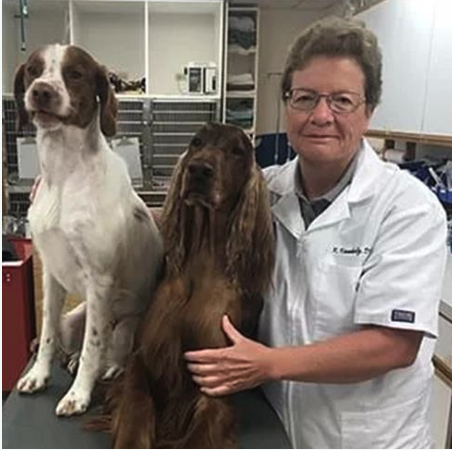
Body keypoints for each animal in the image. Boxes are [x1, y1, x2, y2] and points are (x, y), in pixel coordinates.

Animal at [13, 44, 163, 417]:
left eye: (76, 73)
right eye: (33, 70)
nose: (41, 92)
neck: (64, 173)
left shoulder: (100, 279)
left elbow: (93, 346)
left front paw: (78, 395)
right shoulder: (51, 274)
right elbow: (47, 332)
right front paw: (38, 376)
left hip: (127, 325)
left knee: (112, 347)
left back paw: (107, 367)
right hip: (72, 321)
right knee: (71, 339)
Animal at [97, 122, 275, 448]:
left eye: (237, 151)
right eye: (196, 142)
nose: (199, 170)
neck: (202, 265)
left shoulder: (216, 375)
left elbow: (200, 433)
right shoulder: (144, 355)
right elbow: (136, 403)